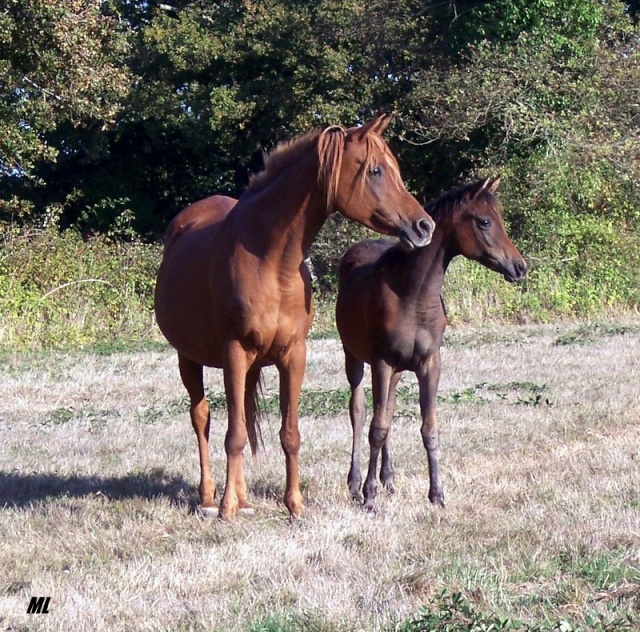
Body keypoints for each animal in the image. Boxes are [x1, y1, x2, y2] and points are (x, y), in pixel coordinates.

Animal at [155, 116, 436, 520]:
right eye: (376, 170)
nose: (424, 226)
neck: (271, 262)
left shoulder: (293, 355)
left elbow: (288, 434)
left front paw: (294, 504)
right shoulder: (234, 353)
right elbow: (232, 435)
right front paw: (226, 509)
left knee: (241, 418)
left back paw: (245, 499)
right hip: (189, 358)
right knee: (202, 418)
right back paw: (210, 499)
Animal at [336, 175, 524, 512]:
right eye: (485, 221)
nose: (520, 267)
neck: (412, 295)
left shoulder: (429, 364)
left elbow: (428, 428)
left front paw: (437, 493)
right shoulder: (382, 362)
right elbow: (376, 428)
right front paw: (369, 496)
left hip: (397, 370)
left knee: (388, 408)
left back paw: (389, 479)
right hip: (354, 358)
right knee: (359, 411)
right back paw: (356, 484)